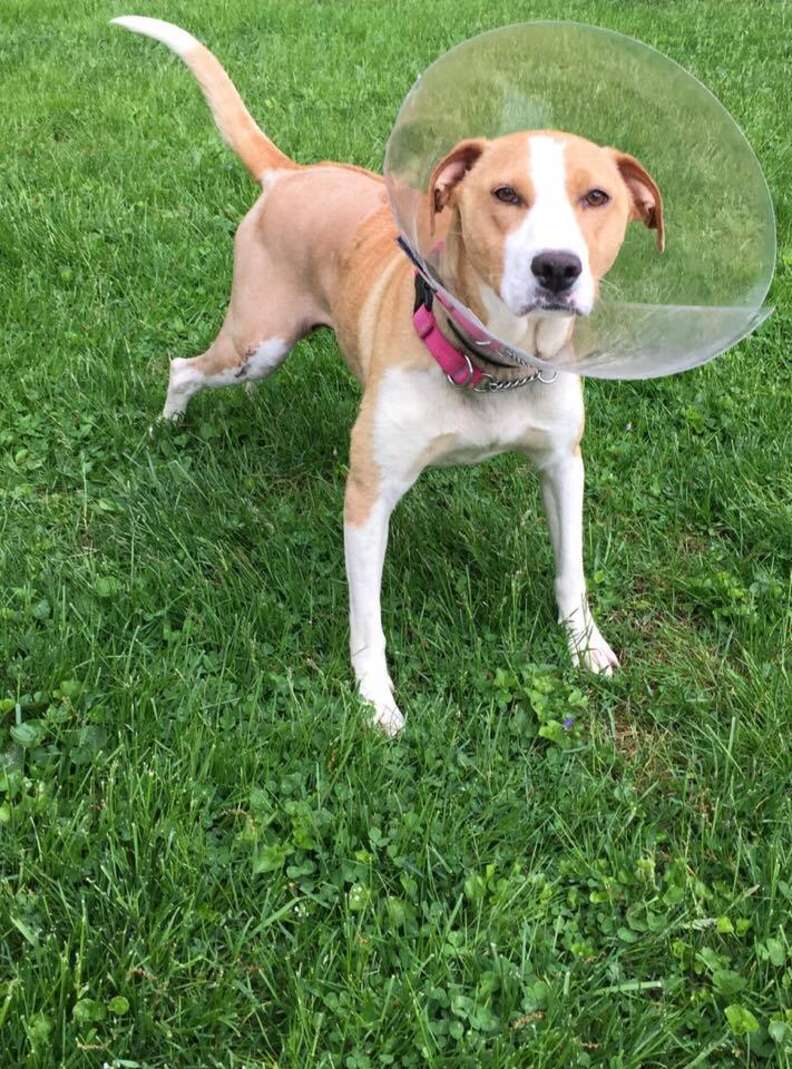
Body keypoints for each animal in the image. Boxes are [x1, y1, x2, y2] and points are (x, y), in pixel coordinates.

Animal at [114, 16, 662, 735]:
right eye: (505, 194)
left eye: (597, 197)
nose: (556, 268)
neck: (494, 366)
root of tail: (292, 175)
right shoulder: (369, 496)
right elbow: (367, 618)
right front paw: (377, 704)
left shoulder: (562, 464)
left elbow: (572, 568)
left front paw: (588, 647)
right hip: (255, 338)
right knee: (185, 368)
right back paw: (168, 425)